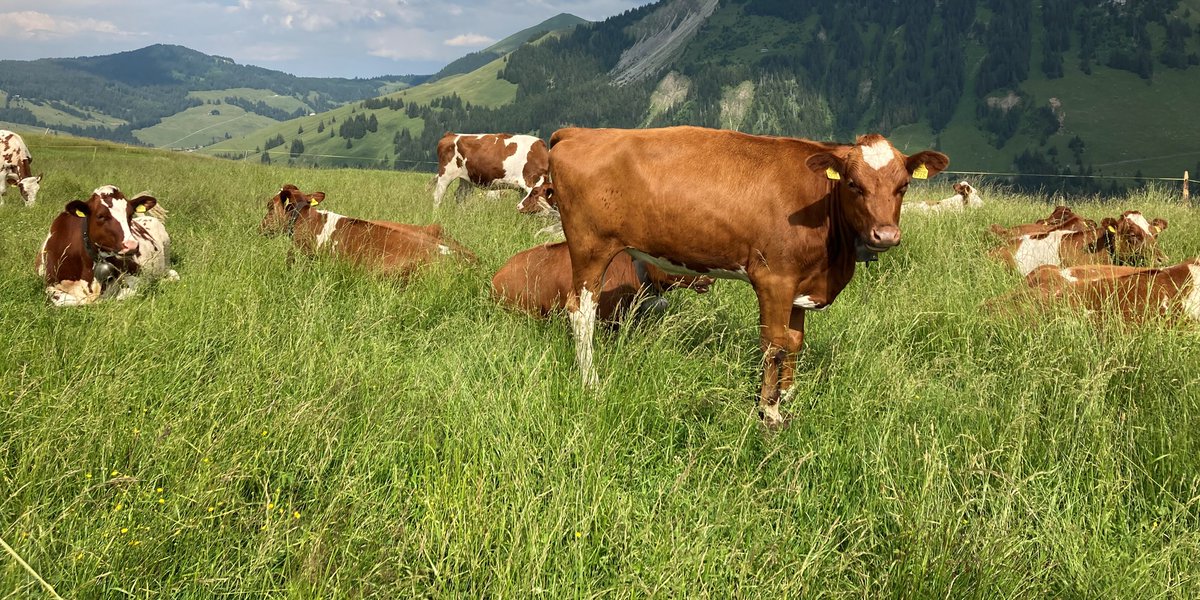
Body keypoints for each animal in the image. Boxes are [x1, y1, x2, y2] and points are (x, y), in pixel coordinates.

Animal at [35, 183, 177, 307]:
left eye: (130, 214)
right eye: (101, 216)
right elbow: (68, 301)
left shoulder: (136, 278)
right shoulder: (50, 286)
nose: (131, 245)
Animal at [549, 126, 950, 427]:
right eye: (853, 184)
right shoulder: (774, 279)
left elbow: (795, 340)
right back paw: (591, 382)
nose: (886, 235)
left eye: (903, 186)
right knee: (581, 312)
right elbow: (775, 343)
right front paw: (770, 411)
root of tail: (578, 132)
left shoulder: (800, 282)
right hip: (590, 248)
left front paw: (788, 393)